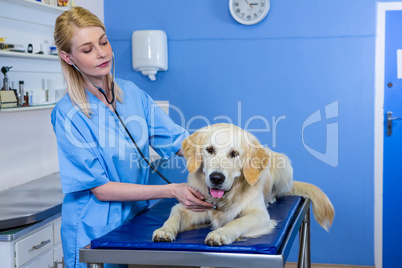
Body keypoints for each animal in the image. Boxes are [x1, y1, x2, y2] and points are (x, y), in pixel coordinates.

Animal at [152, 122, 334, 246]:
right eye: (209, 150)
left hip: (284, 164)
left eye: (234, 153)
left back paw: (271, 198)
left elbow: (236, 222)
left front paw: (221, 233)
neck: (224, 199)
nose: (216, 178)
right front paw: (164, 230)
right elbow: (174, 215)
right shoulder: (188, 206)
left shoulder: (260, 215)